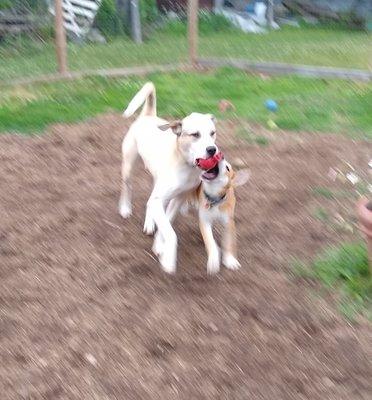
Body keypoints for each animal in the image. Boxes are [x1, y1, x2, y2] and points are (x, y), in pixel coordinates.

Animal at [119, 83, 218, 274]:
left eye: (212, 133)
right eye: (195, 134)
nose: (212, 149)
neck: (185, 166)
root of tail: (148, 115)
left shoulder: (178, 198)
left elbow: (168, 221)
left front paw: (159, 246)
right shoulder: (162, 199)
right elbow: (170, 232)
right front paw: (168, 260)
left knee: (150, 201)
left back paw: (150, 224)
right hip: (128, 165)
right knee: (127, 186)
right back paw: (125, 209)